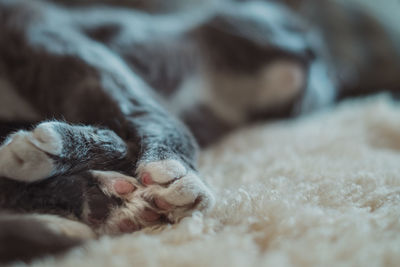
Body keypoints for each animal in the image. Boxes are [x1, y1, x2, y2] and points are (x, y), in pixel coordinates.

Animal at [0, 0, 398, 264]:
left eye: (332, 75)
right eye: (292, 27)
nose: (318, 58)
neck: (217, 89)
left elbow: (128, 139)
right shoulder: (45, 26)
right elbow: (147, 112)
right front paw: (175, 174)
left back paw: (105, 206)